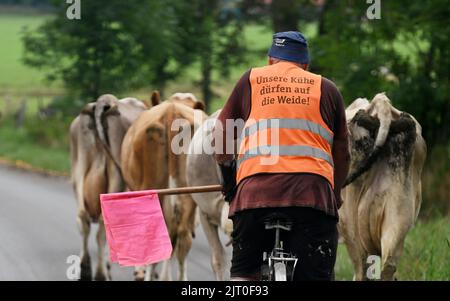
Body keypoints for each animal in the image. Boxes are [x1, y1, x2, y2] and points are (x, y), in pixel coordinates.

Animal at [69, 93, 148, 278]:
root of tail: (103, 101)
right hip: (116, 177)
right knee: (103, 228)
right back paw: (100, 273)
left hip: (78, 168)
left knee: (83, 218)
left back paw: (86, 268)